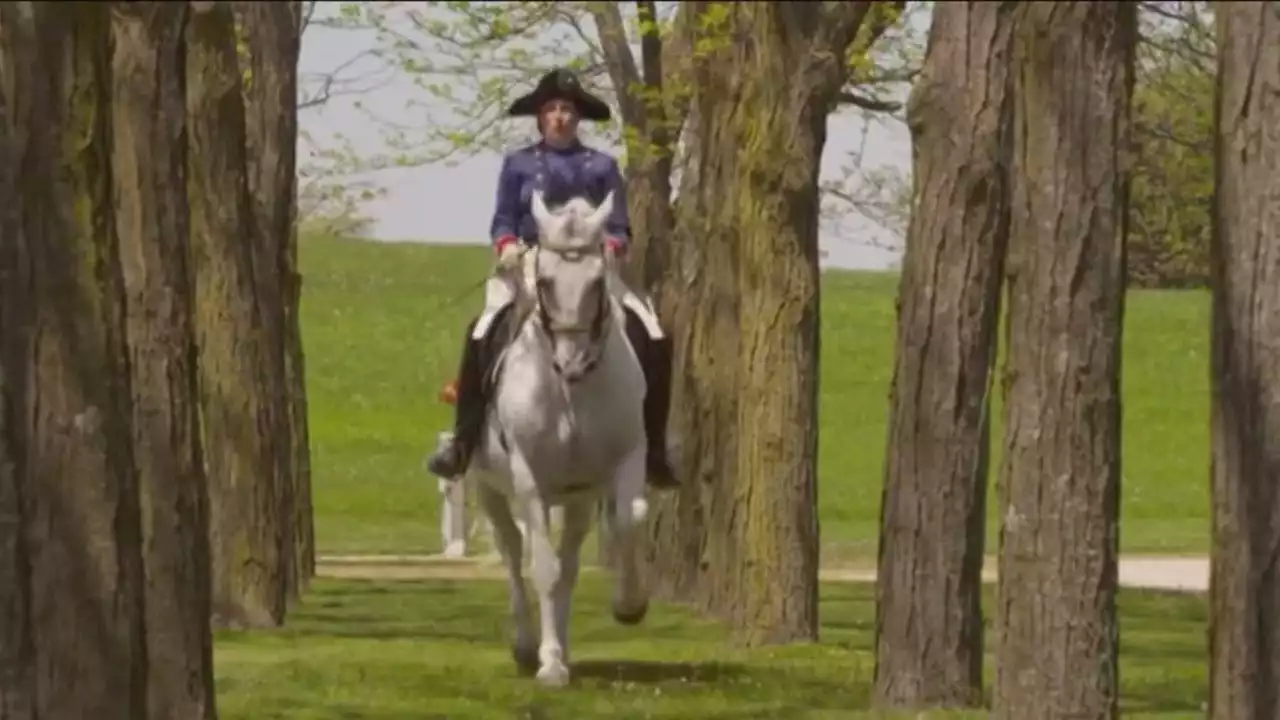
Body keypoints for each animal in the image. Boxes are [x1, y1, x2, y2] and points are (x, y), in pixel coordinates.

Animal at [465, 189, 655, 681]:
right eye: (546, 282)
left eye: (596, 281)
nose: (573, 362)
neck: (571, 393)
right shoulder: (530, 478)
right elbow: (543, 568)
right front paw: (549, 666)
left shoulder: (619, 465)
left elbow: (629, 518)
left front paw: (629, 605)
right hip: (489, 488)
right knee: (513, 552)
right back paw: (528, 647)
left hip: (576, 499)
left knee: (567, 561)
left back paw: (562, 646)